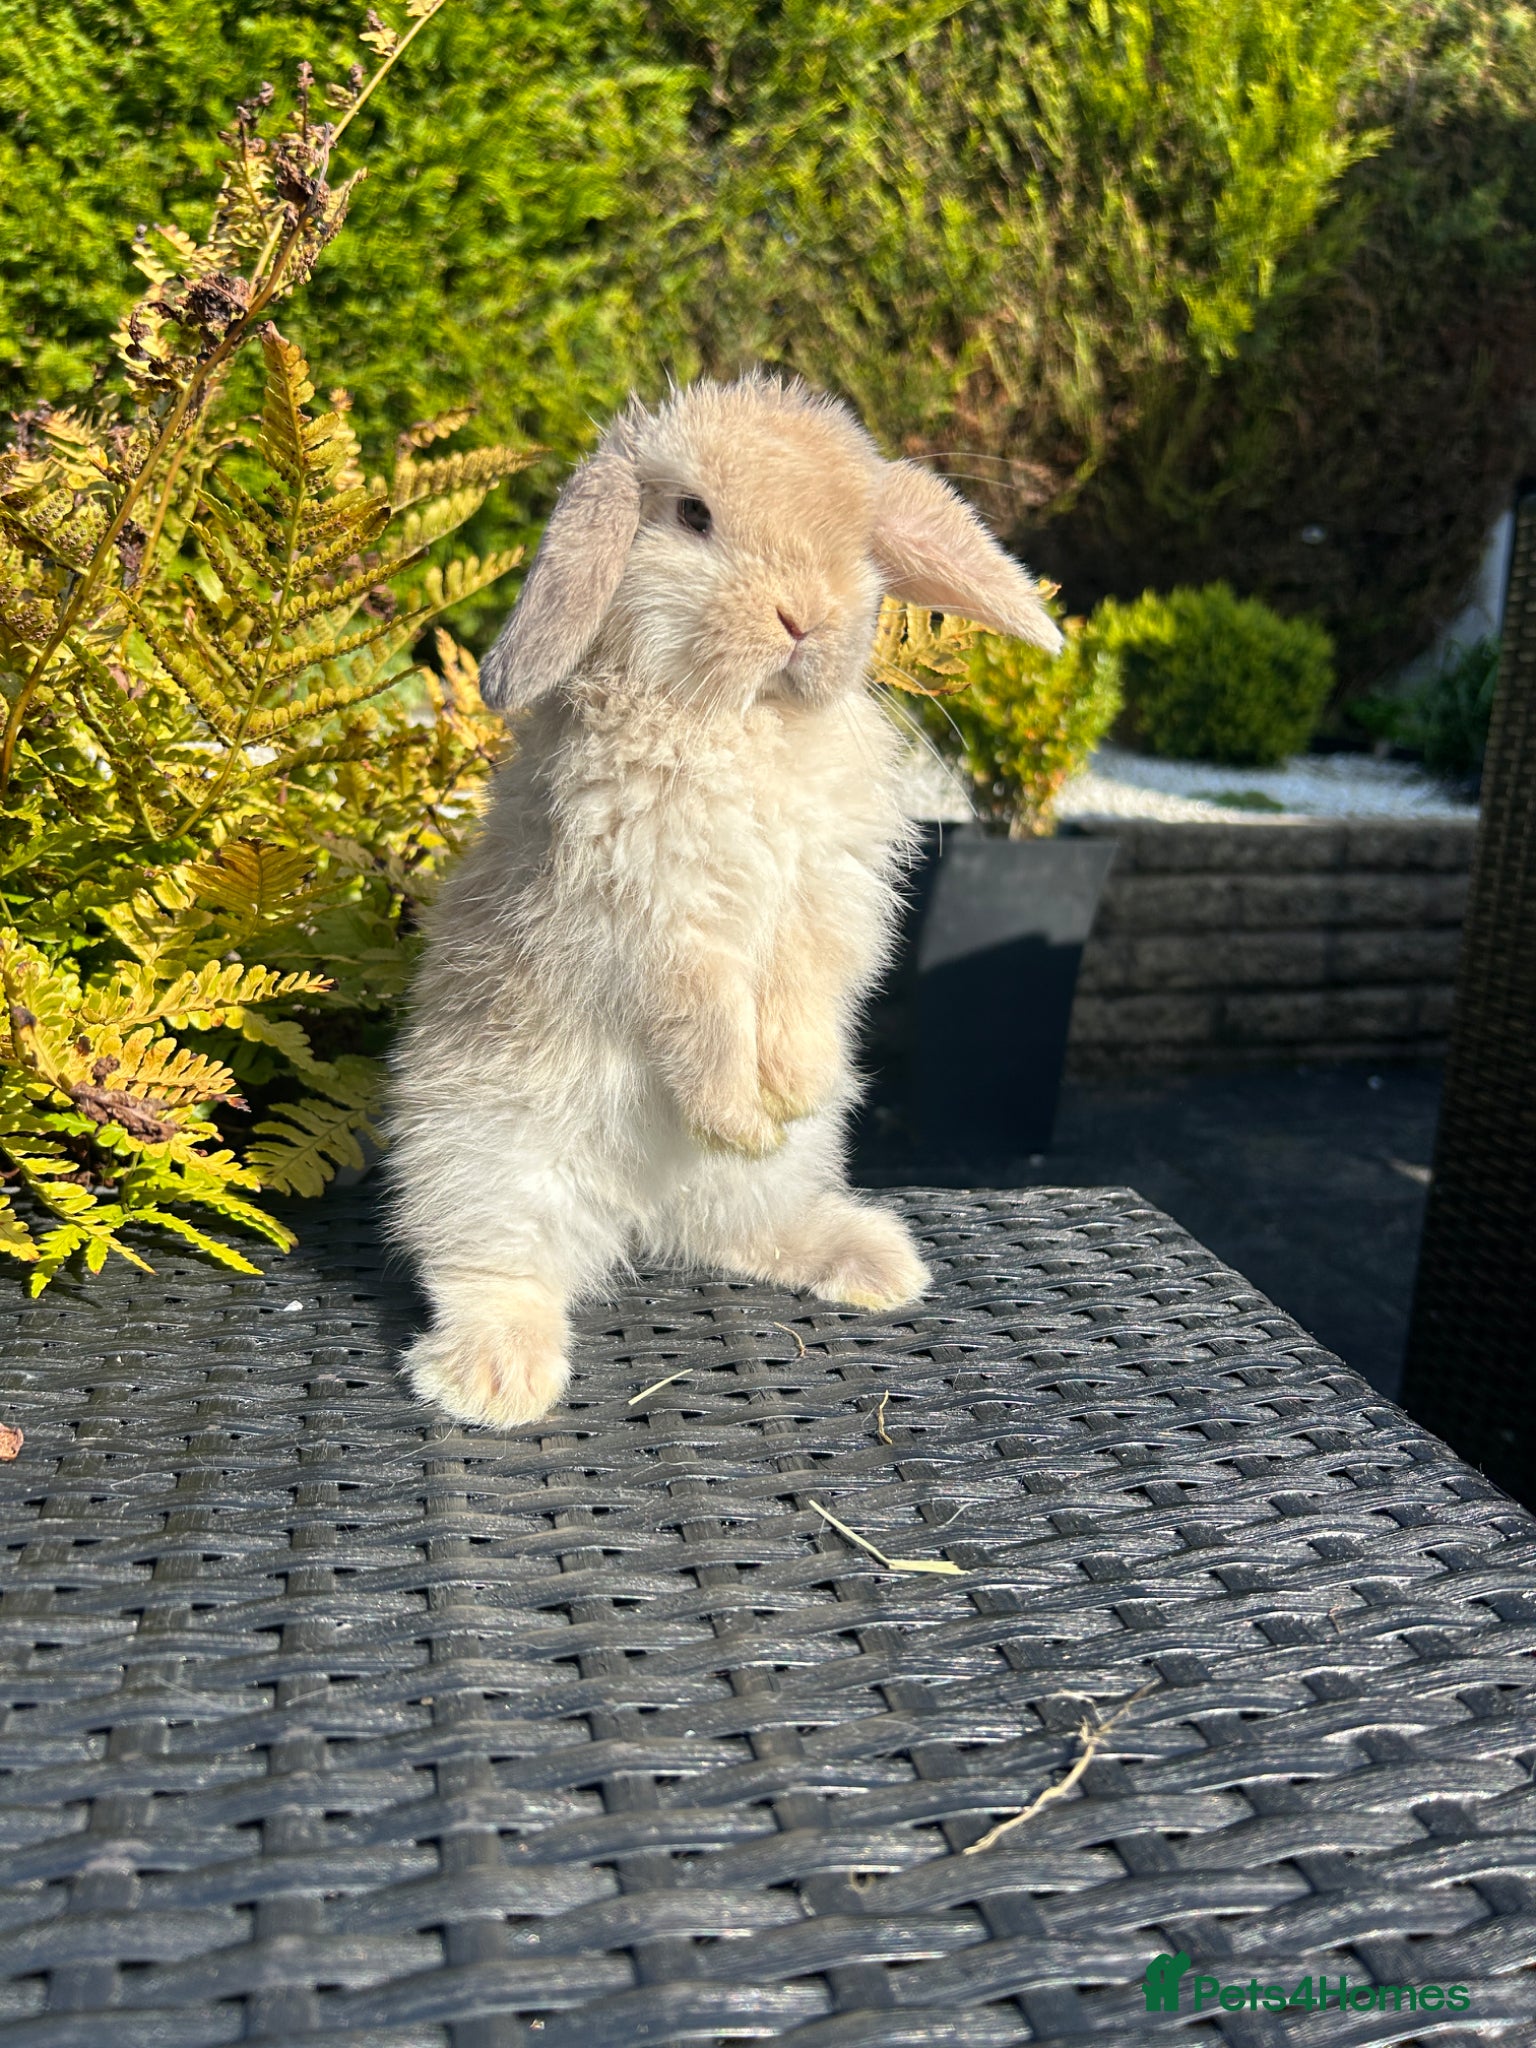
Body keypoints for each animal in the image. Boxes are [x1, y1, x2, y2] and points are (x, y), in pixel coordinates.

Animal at [388, 373, 1062, 1429]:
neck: (749, 721)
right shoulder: (662, 927)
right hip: (485, 1164)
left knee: (741, 1232)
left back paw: (872, 1258)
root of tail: (640, 1211)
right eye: (693, 515)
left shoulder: (824, 908)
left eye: (862, 540)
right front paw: (740, 1115)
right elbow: (703, 1021)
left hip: (778, 1179)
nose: (805, 619)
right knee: (492, 1270)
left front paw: (790, 1090)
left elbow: (802, 996)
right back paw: (496, 1379)